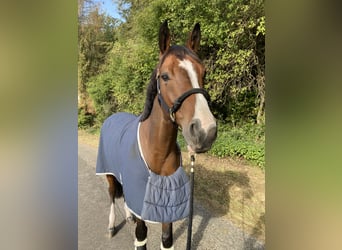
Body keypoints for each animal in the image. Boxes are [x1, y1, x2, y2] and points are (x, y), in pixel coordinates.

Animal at [95, 20, 216, 249]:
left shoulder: (167, 201)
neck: (158, 152)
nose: (205, 131)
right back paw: (111, 226)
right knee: (112, 196)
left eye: (204, 73)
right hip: (109, 173)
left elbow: (166, 239)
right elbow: (141, 236)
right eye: (165, 76)